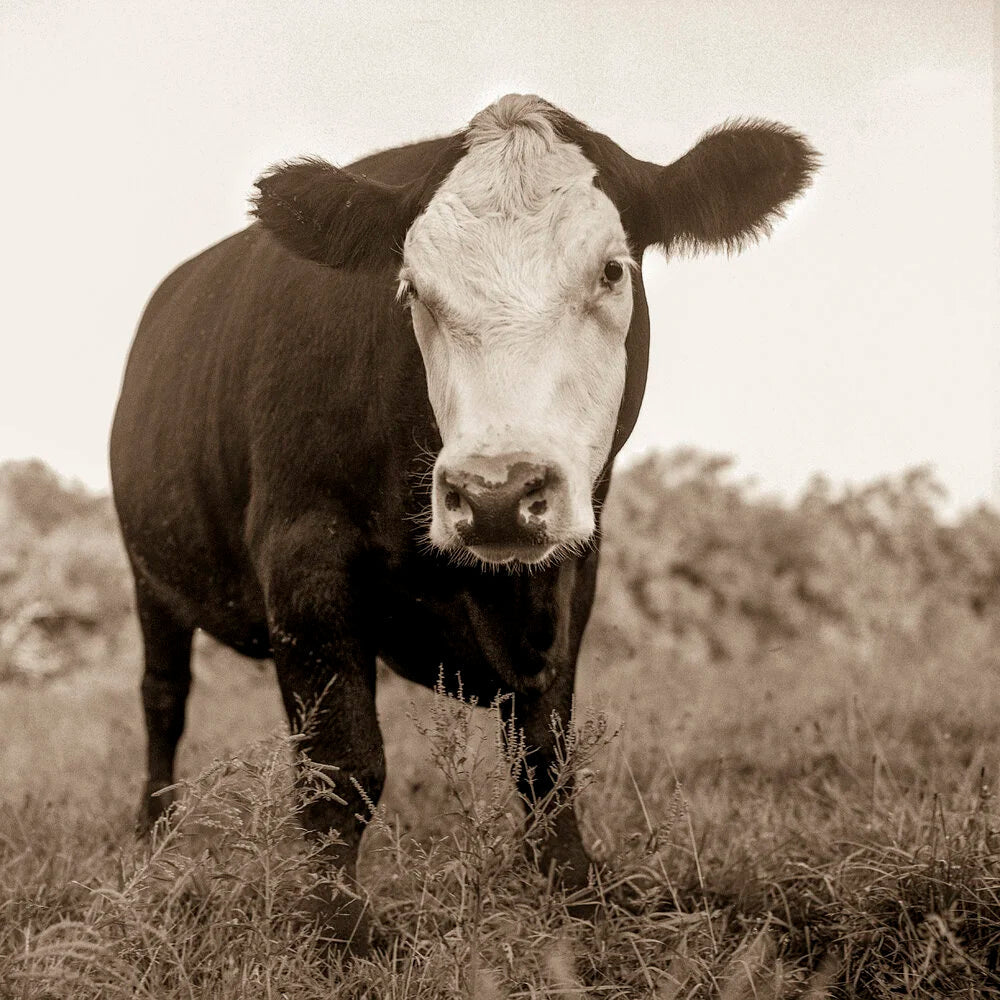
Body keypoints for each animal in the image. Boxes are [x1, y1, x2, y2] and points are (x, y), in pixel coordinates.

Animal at [110, 94, 816, 950]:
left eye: (612, 270)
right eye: (413, 288)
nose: (495, 491)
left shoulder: (573, 569)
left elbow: (544, 750)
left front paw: (571, 884)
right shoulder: (306, 554)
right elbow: (342, 761)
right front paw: (333, 924)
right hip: (150, 575)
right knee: (163, 699)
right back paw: (155, 835)